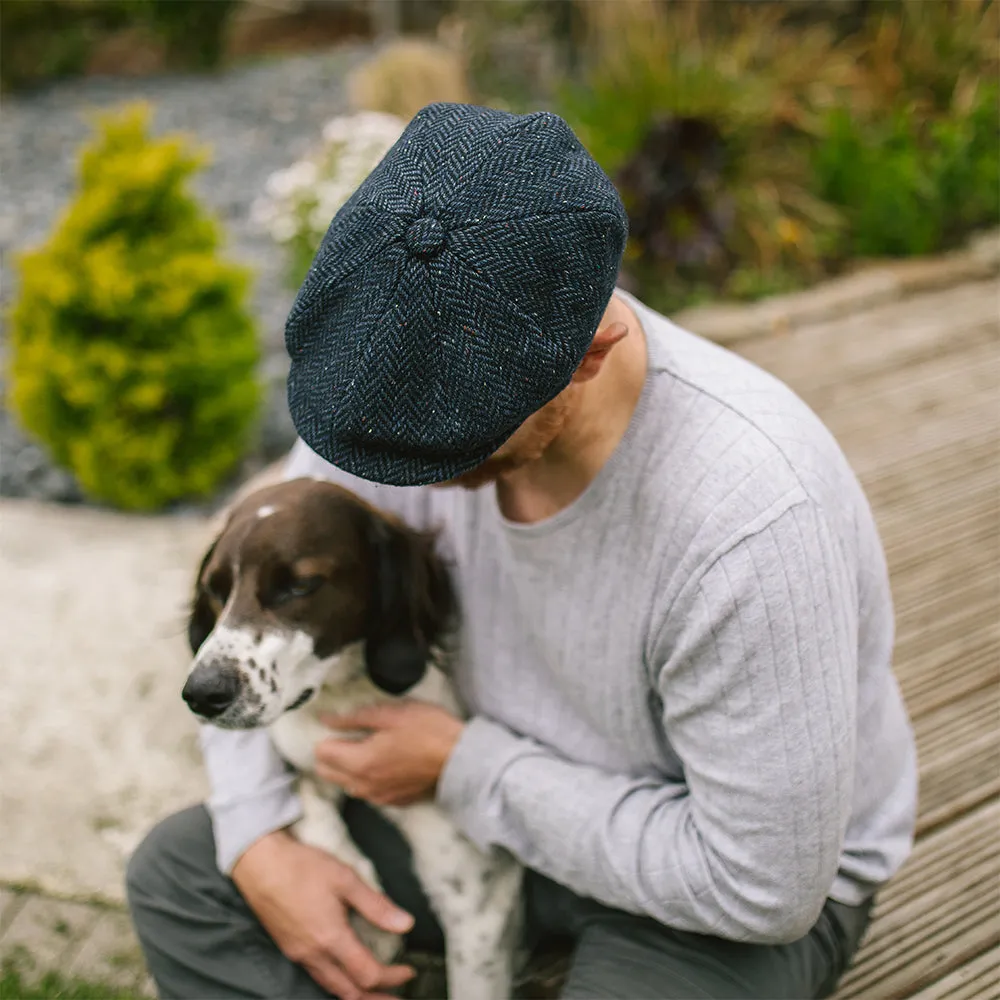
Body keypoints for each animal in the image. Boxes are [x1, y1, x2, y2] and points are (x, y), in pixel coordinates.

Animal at [183, 476, 524, 1000]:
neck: (342, 697)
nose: (201, 695)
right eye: (216, 591)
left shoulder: (478, 899)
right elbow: (307, 802)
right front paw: (366, 921)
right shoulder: (303, 749)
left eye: (299, 585)